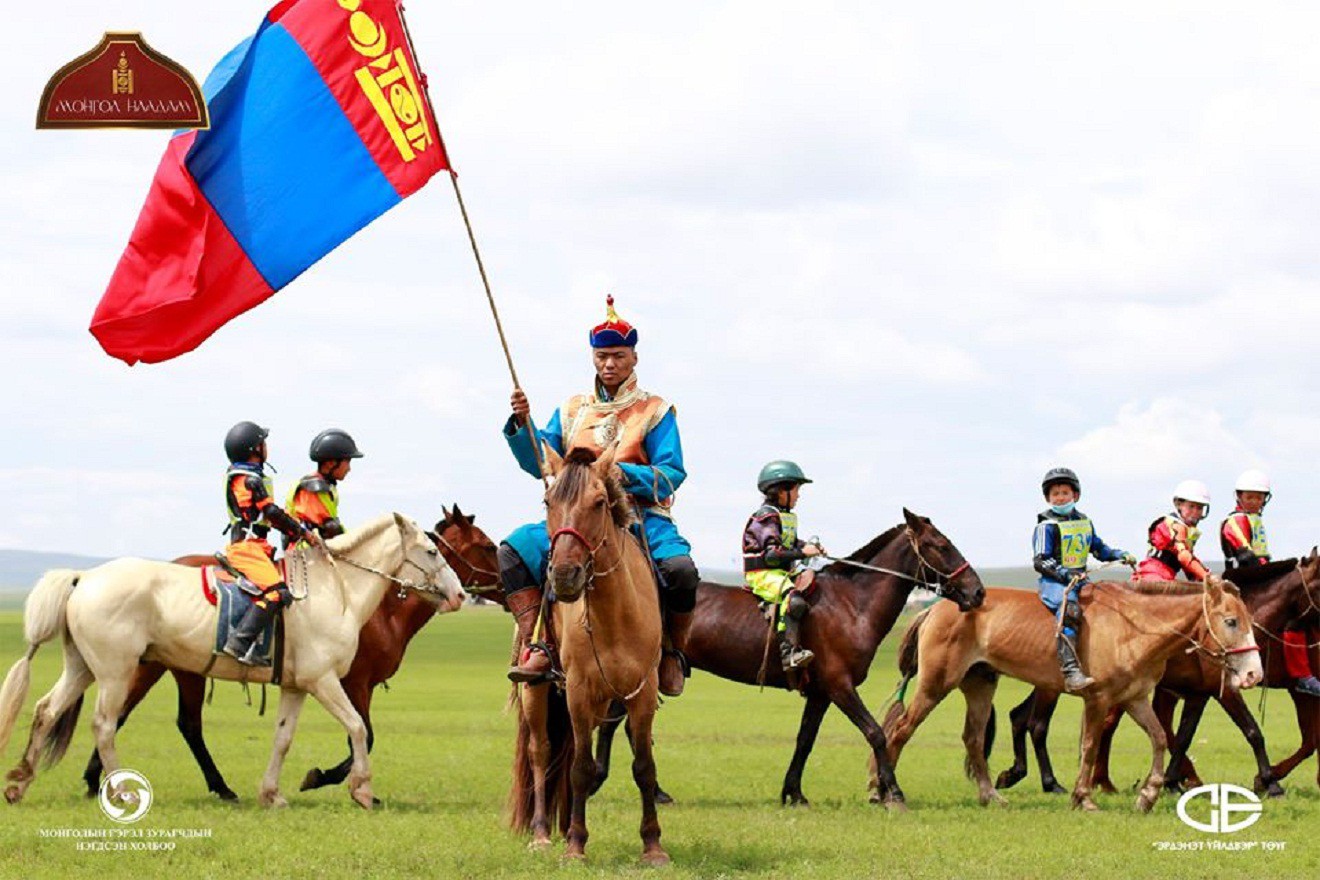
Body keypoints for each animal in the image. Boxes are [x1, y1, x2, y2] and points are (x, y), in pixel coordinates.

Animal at [0, 517, 464, 812]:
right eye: (430, 550)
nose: (461, 594)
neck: (336, 590)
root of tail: (85, 578)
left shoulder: (296, 686)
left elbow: (283, 738)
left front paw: (272, 794)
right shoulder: (325, 681)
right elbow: (357, 728)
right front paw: (362, 791)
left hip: (83, 668)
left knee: (46, 710)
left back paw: (20, 781)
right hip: (117, 672)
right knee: (105, 725)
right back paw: (122, 793)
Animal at [588, 509, 982, 812]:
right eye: (941, 546)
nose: (977, 591)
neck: (851, 603)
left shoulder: (821, 692)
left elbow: (805, 740)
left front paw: (793, 793)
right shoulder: (840, 686)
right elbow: (875, 733)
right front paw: (893, 793)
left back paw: (652, 790)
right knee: (617, 724)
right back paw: (601, 779)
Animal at [881, 577, 1261, 812]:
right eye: (1230, 621)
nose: (1254, 674)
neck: (1132, 627)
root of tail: (934, 608)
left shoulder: (1134, 699)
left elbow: (1159, 739)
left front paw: (1147, 796)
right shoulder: (1098, 700)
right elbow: (1090, 747)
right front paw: (1084, 798)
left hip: (980, 685)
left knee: (973, 739)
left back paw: (991, 796)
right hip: (935, 686)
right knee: (901, 731)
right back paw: (887, 795)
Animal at [992, 556, 1314, 796]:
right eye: (1231, 621)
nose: (1254, 673)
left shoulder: (1197, 693)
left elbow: (1182, 736)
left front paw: (1171, 781)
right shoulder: (1223, 690)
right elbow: (1252, 732)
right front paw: (1270, 782)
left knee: (1022, 717)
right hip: (1056, 687)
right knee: (1038, 725)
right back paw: (1054, 783)